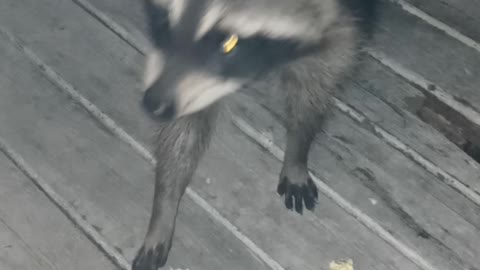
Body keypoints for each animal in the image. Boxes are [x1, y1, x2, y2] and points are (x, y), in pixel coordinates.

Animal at [133, 0, 376, 268]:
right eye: (163, 21)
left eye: (229, 42)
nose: (152, 104)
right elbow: (183, 131)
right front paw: (165, 203)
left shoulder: (347, 14)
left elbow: (322, 75)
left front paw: (298, 147)